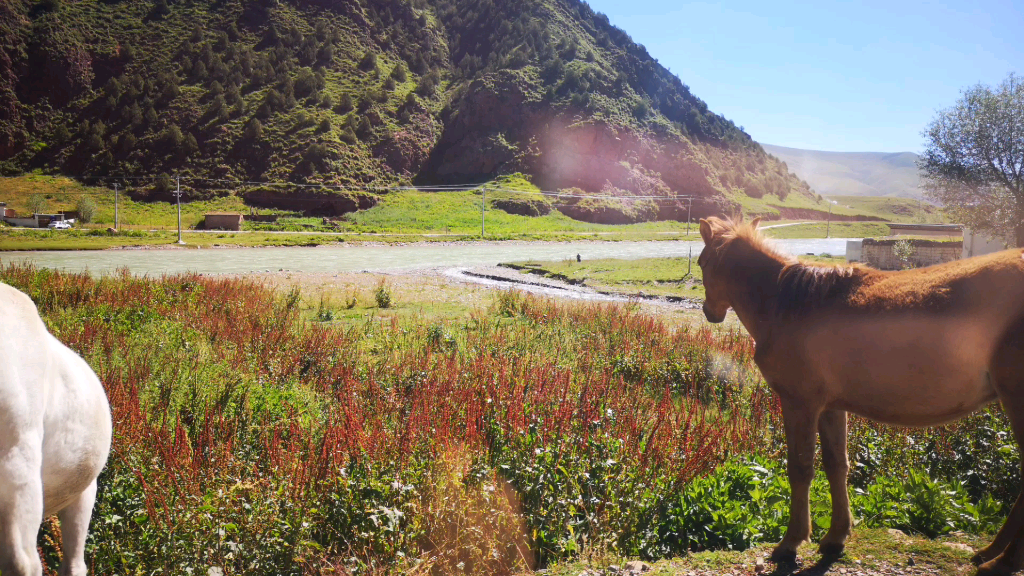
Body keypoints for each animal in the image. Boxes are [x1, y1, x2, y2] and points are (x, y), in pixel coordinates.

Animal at [700, 216, 1024, 573]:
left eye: (702, 262)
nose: (709, 311)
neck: (785, 302)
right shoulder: (830, 407)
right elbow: (836, 465)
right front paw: (835, 538)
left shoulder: (800, 403)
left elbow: (800, 468)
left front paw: (791, 543)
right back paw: (991, 551)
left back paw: (1003, 561)